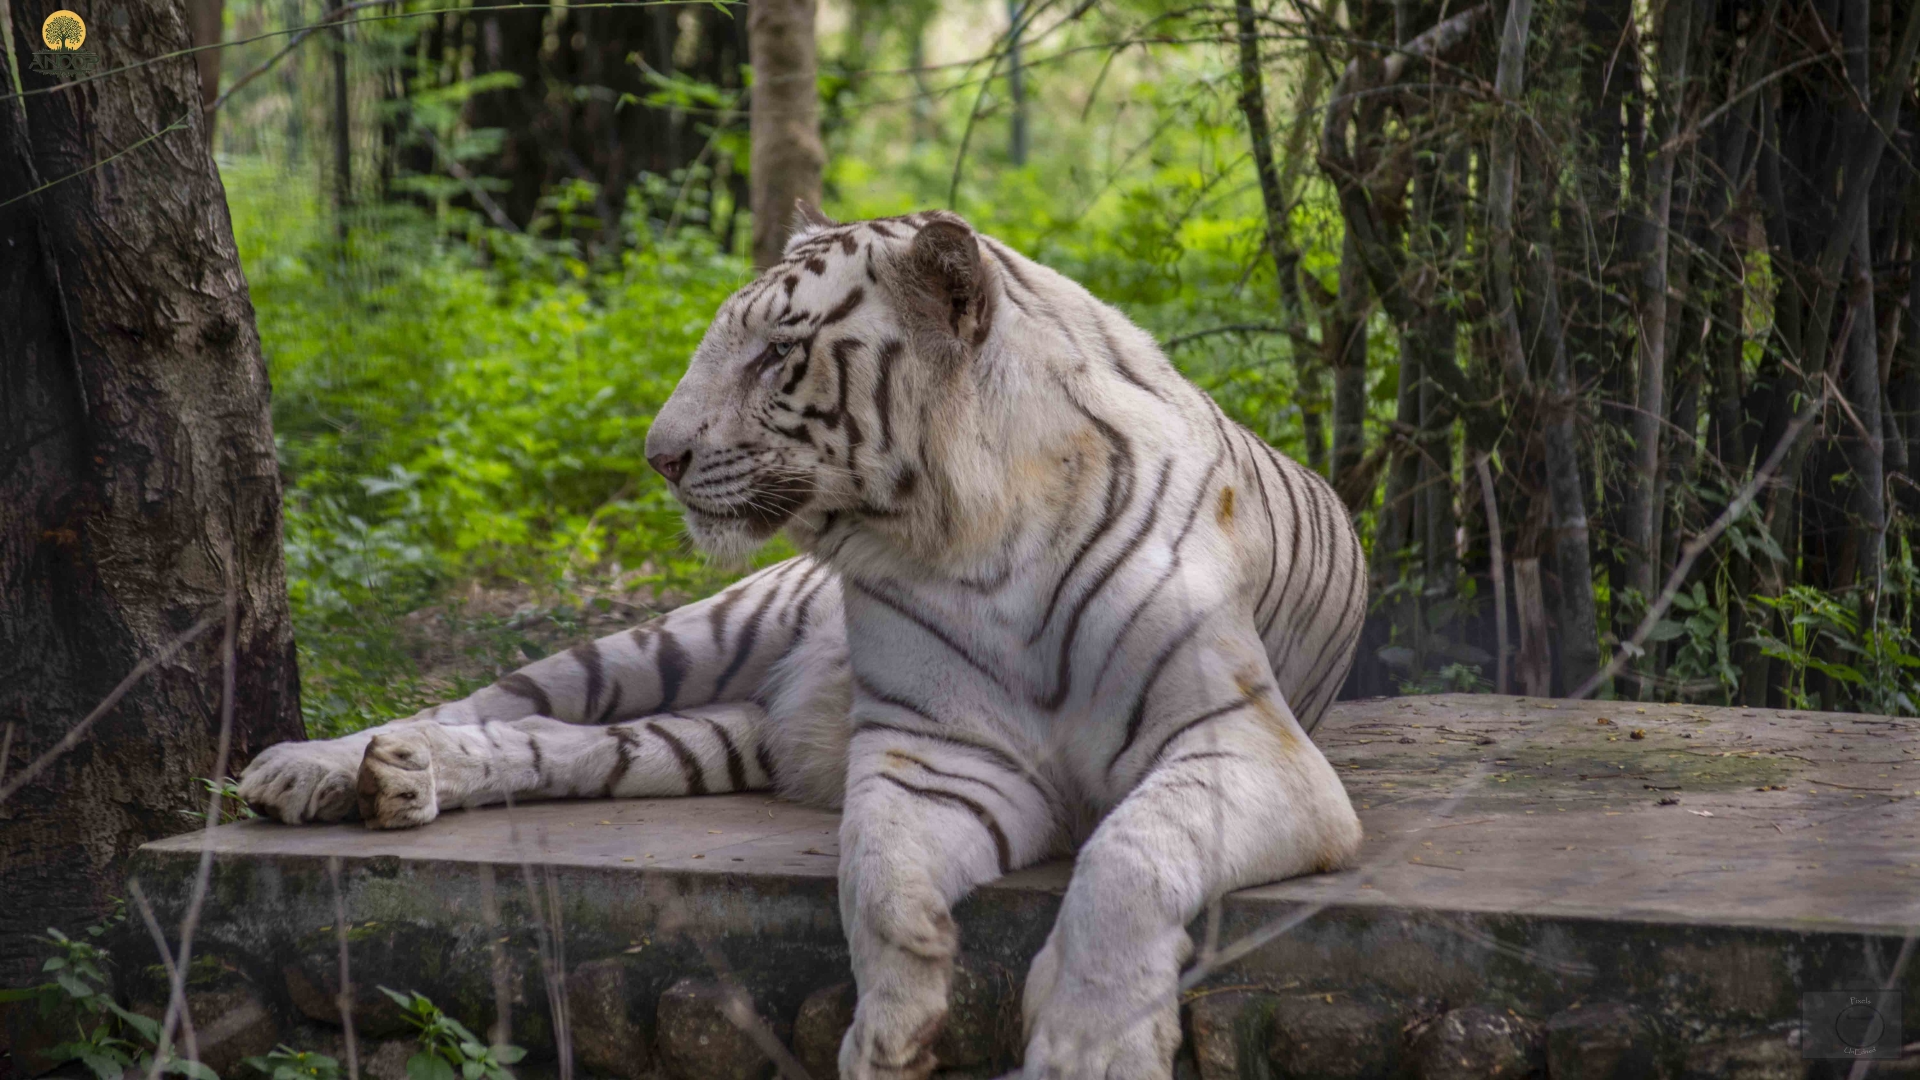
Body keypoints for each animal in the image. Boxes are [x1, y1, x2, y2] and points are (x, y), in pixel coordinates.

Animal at [240, 210, 1374, 1076]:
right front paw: (896, 1020)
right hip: (677, 639)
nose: (658, 457)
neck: (976, 536)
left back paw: (402, 779)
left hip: (710, 735)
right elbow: (873, 869)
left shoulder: (1242, 745)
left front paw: (1084, 1051)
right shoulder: (936, 756)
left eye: (777, 352)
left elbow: (1129, 859)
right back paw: (320, 766)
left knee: (559, 750)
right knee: (486, 704)